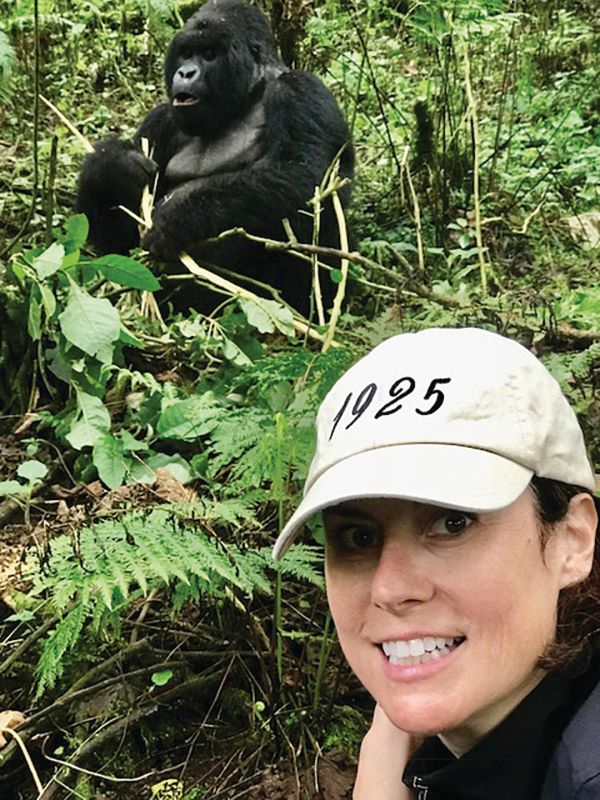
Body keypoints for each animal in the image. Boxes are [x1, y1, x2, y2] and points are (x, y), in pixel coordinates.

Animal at [77, 0, 354, 318]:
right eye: (186, 53)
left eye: (209, 55)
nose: (185, 73)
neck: (249, 94)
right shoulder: (160, 120)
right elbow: (119, 244)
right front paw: (112, 167)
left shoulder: (301, 89)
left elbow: (305, 175)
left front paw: (178, 219)